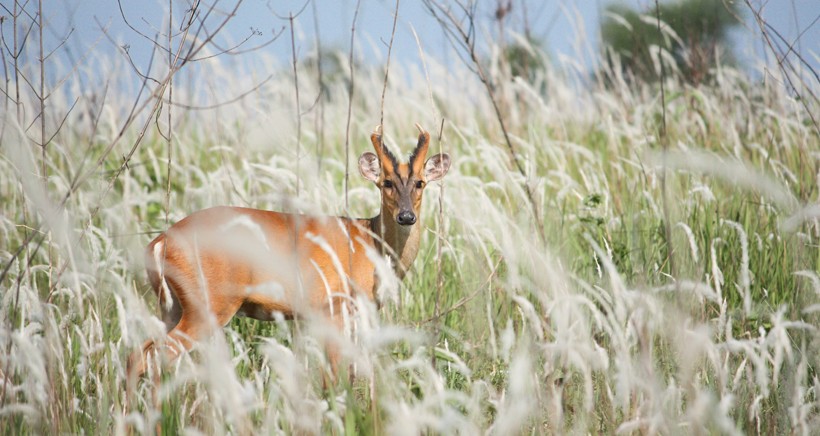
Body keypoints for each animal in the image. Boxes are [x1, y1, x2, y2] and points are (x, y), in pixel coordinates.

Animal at [125, 123, 452, 398]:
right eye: (386, 183)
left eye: (420, 182)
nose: (406, 216)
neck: (368, 242)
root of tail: (159, 242)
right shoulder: (333, 306)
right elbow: (333, 377)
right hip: (207, 304)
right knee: (156, 356)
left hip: (172, 306)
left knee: (137, 354)